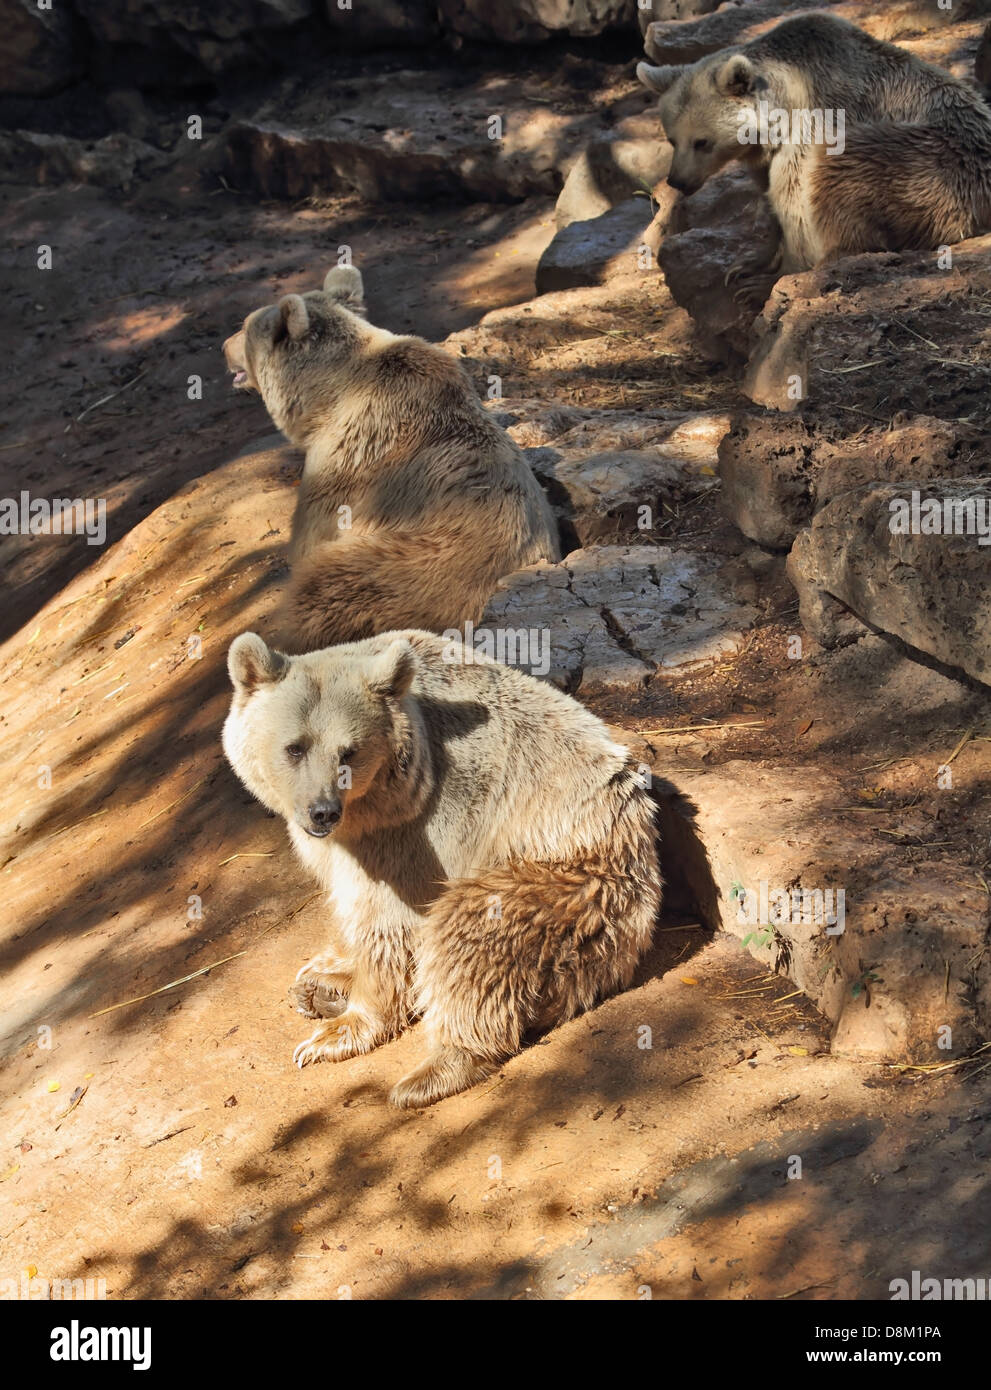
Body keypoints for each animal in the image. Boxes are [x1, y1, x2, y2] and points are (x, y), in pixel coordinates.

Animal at [221, 627, 662, 1108]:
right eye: (294, 747)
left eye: (349, 752)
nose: (321, 811)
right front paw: (326, 972)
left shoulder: (415, 828)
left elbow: (387, 924)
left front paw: (336, 1033)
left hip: (576, 884)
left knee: (470, 935)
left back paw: (430, 1072)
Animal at [222, 266, 559, 653]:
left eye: (244, 326)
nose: (223, 346)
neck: (327, 397)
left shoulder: (346, 458)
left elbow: (313, 534)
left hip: (412, 569)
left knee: (330, 587)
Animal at [638, 13, 991, 272]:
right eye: (672, 139)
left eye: (702, 142)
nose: (678, 180)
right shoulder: (762, 155)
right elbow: (769, 198)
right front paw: (749, 264)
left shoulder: (813, 128)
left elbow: (795, 202)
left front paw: (774, 275)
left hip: (931, 162)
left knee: (842, 175)